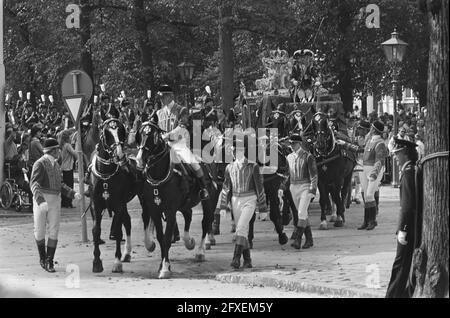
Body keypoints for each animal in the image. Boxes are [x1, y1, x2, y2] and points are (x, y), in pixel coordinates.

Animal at [134, 120, 215, 278]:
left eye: (153, 136)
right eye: (140, 135)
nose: (140, 159)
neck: (161, 175)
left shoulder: (170, 211)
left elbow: (166, 238)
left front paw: (165, 268)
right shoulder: (155, 210)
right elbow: (160, 238)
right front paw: (162, 265)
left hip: (207, 202)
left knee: (205, 223)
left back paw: (200, 251)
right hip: (184, 204)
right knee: (189, 215)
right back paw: (189, 241)